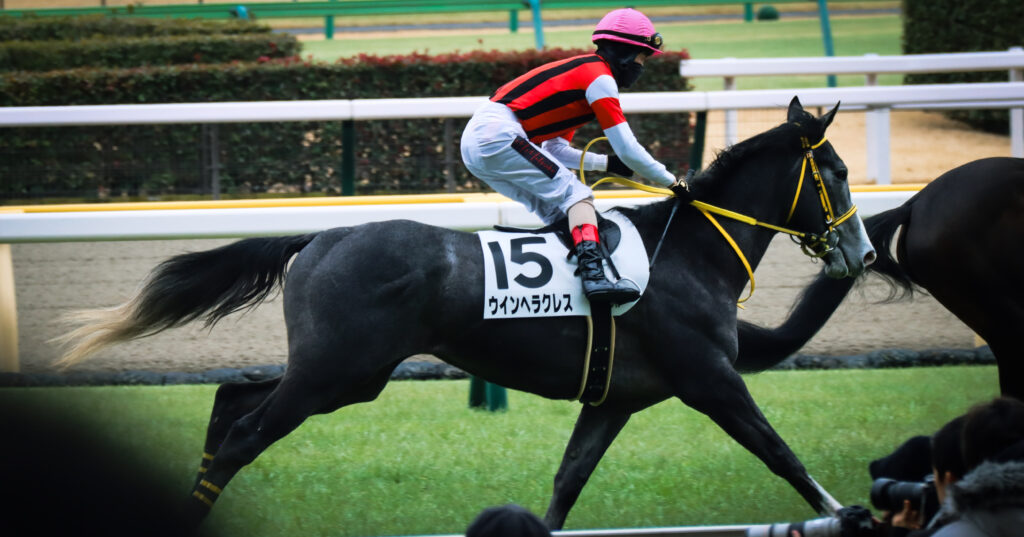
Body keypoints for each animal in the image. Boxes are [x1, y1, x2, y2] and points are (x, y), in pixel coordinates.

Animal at [55, 97, 876, 530]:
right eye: (835, 172)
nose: (863, 252)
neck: (690, 251)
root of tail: (320, 235)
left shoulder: (616, 399)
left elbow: (566, 481)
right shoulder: (709, 378)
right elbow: (780, 452)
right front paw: (845, 511)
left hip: (345, 374)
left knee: (232, 398)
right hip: (336, 371)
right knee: (243, 434)